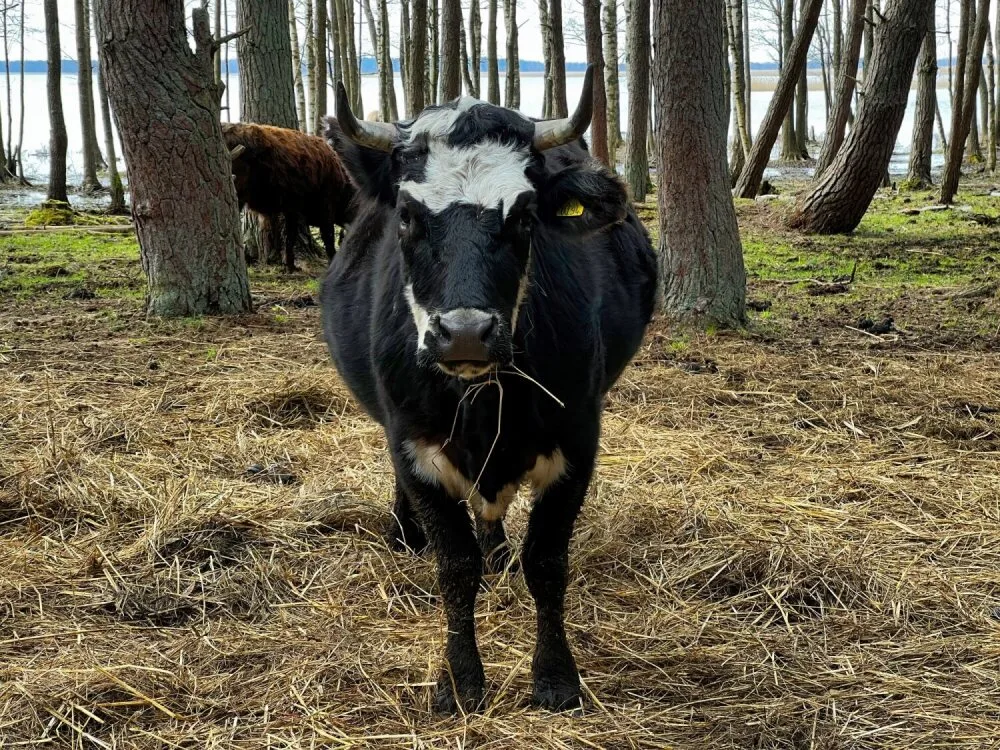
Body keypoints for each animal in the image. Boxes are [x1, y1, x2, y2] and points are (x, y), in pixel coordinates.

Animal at [320, 66, 657, 713]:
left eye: (524, 216)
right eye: (407, 216)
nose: (465, 332)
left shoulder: (578, 440)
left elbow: (546, 561)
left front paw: (555, 677)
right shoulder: (414, 444)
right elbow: (455, 566)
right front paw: (459, 681)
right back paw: (404, 535)